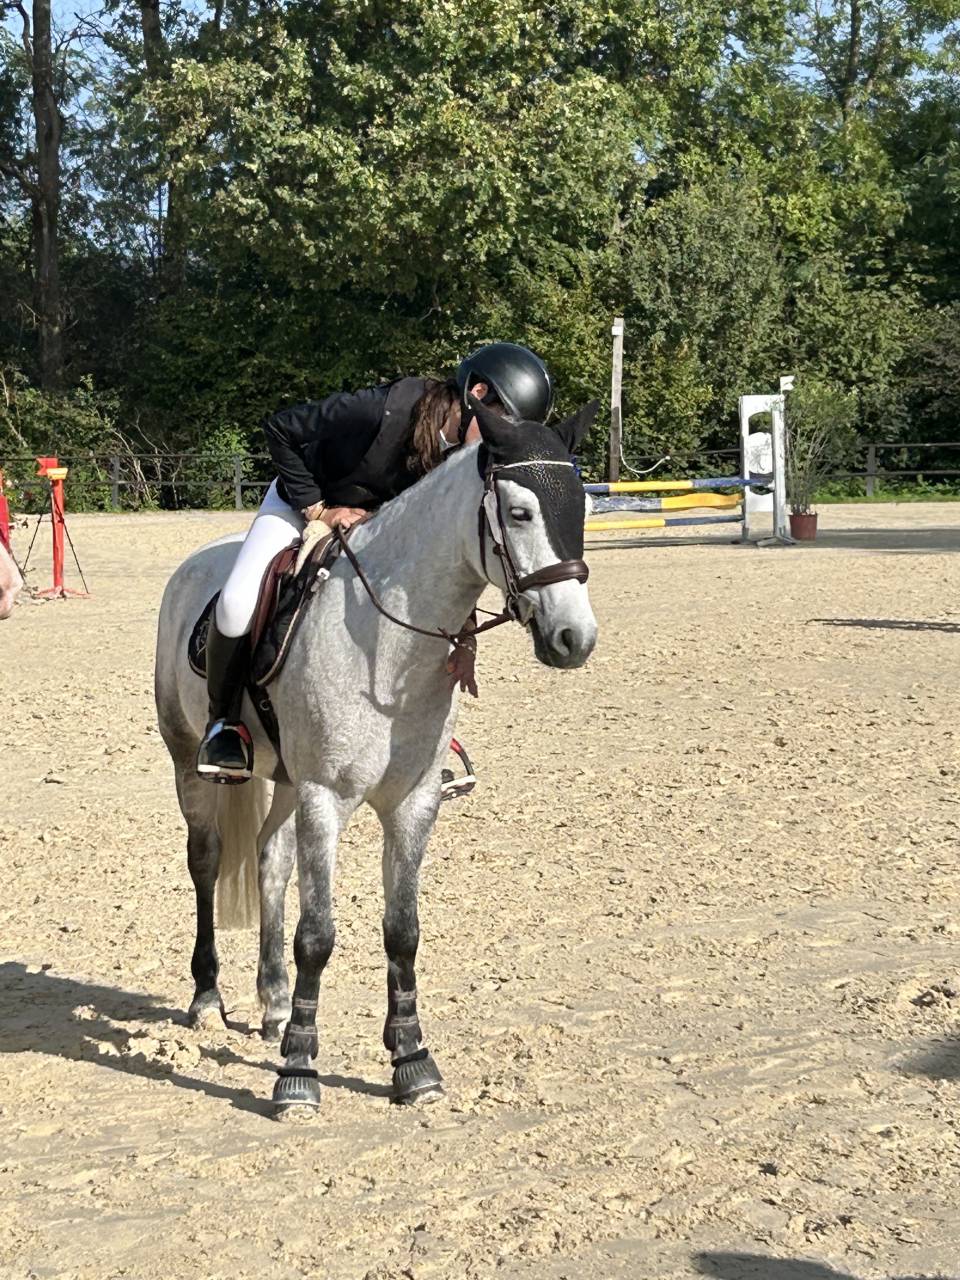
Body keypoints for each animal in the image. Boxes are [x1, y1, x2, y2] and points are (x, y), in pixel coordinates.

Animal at [154, 397, 598, 1118]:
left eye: (581, 506)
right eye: (519, 513)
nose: (574, 638)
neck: (387, 643)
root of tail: (197, 563)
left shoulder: (412, 802)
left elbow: (402, 930)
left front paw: (412, 1062)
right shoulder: (326, 798)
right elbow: (318, 936)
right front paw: (298, 1074)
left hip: (285, 780)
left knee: (271, 861)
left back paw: (273, 1004)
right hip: (189, 759)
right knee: (207, 861)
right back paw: (207, 998)